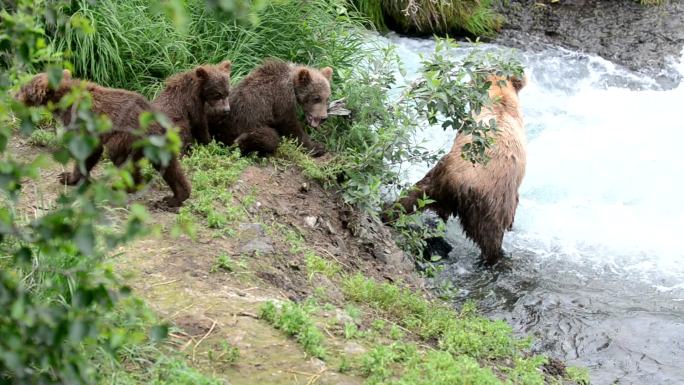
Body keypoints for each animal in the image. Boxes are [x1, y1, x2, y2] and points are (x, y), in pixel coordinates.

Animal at [16, 69, 192, 207]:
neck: (63, 101)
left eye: (24, 87)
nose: (14, 95)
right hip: (160, 142)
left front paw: (68, 177)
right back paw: (175, 198)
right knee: (170, 167)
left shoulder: (80, 119)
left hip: (127, 136)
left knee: (121, 158)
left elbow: (88, 149)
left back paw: (123, 187)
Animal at [388, 74, 528, 266]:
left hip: (440, 180)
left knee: (411, 198)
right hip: (490, 203)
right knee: (490, 238)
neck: (499, 100)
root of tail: (459, 183)